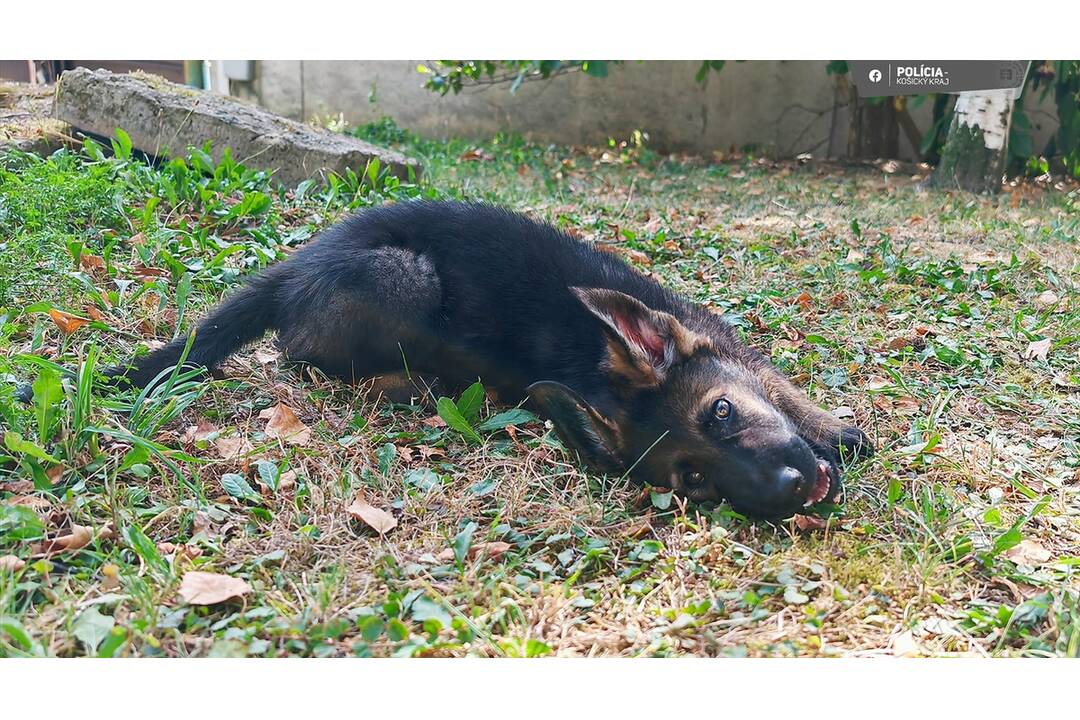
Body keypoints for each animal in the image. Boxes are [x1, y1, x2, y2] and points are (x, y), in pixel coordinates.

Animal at [107, 199, 868, 520]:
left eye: (723, 412)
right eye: (694, 483)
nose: (795, 492)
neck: (596, 366)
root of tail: (293, 266)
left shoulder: (725, 346)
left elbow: (776, 378)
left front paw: (830, 425)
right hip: (404, 276)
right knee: (300, 356)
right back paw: (412, 380)